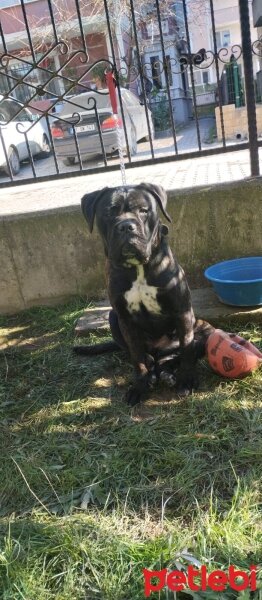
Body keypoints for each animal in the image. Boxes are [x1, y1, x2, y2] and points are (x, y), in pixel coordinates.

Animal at [74, 183, 214, 404]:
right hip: (113, 317)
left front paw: (187, 380)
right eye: (109, 212)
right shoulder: (125, 319)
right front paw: (139, 386)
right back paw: (154, 373)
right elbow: (137, 359)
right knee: (146, 358)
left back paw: (167, 374)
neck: (138, 267)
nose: (126, 226)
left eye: (143, 210)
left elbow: (187, 350)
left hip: (205, 331)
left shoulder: (182, 311)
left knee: (175, 356)